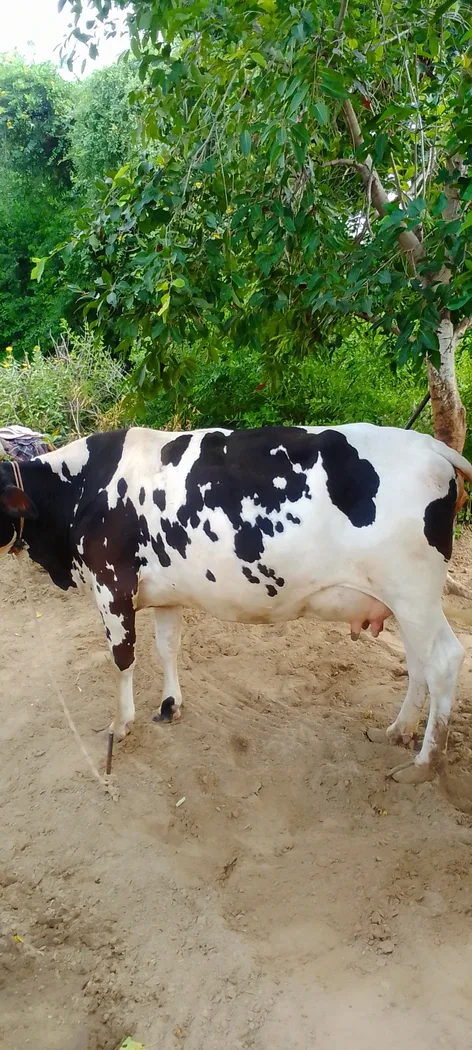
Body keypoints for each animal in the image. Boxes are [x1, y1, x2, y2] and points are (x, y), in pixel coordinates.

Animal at [0, 423, 470, 784]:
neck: (81, 488)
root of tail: (430, 445)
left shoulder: (111, 585)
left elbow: (122, 659)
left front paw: (120, 724)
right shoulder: (166, 590)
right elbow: (167, 647)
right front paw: (169, 706)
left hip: (413, 593)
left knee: (443, 660)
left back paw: (424, 763)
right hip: (403, 602)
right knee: (418, 664)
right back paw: (397, 731)